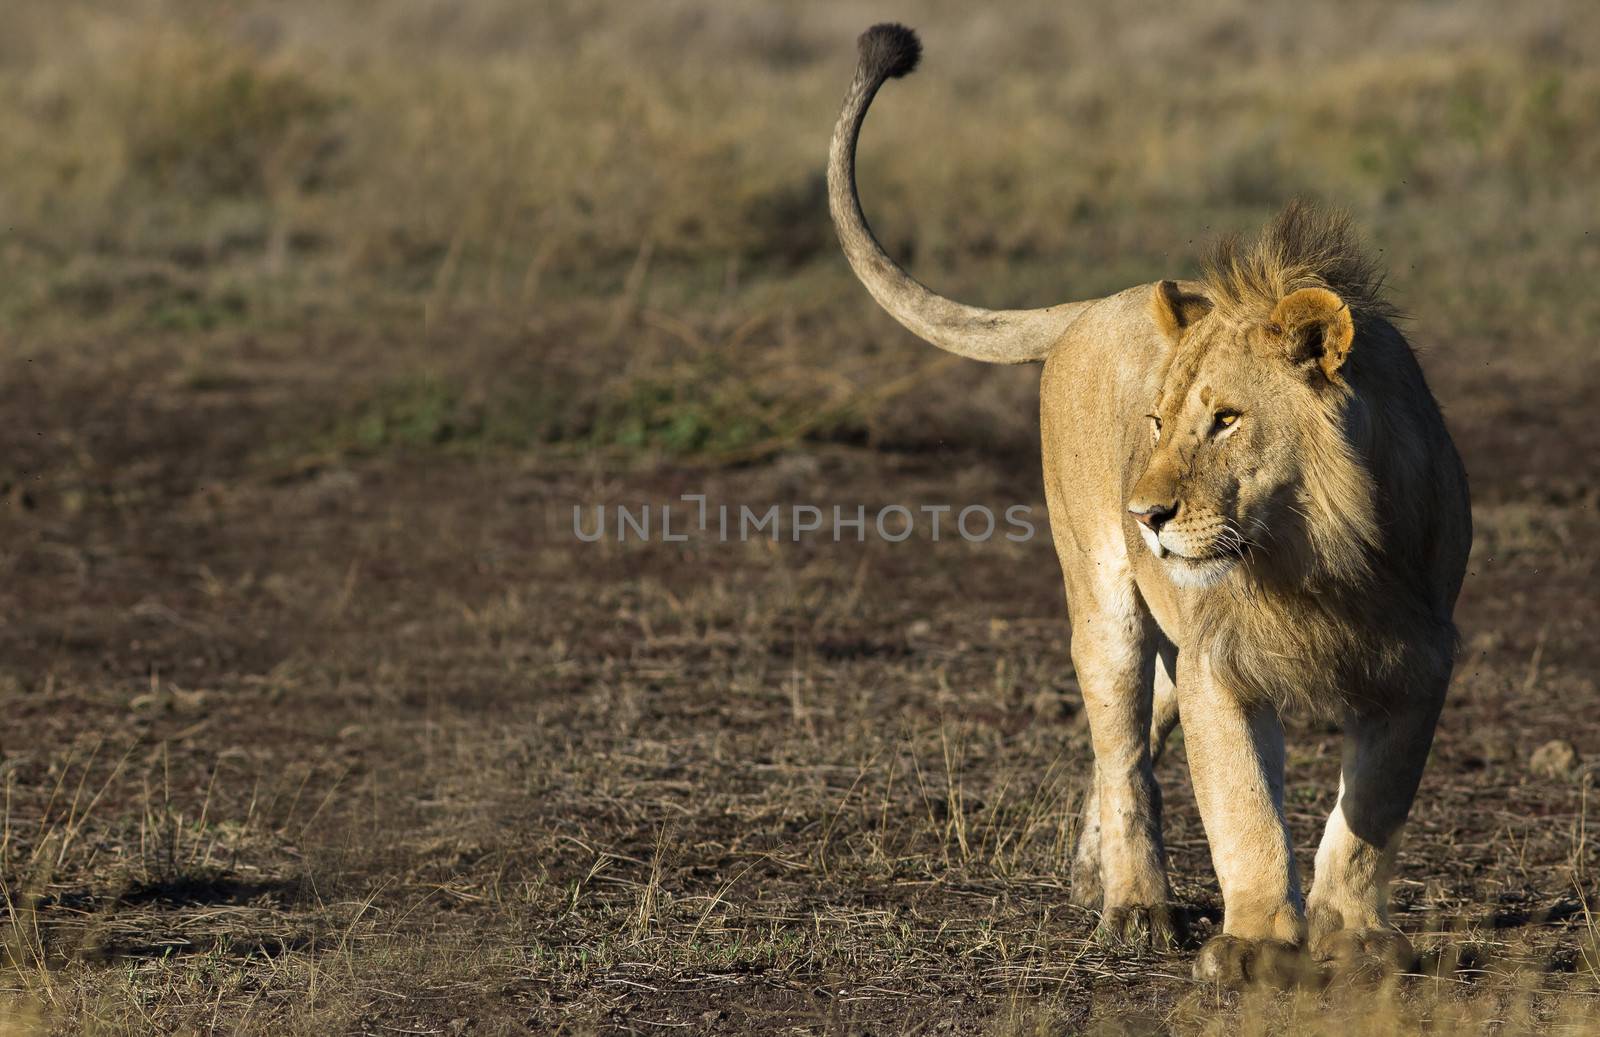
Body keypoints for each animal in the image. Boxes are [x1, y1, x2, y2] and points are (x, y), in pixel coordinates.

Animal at [832, 20, 1465, 985]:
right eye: (1158, 421)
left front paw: (1353, 938)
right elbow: (1243, 807)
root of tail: (1093, 303)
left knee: (1135, 747)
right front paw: (1256, 944)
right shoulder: (1222, 661)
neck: (1313, 553)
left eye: (1227, 420)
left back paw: (1092, 873)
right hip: (1106, 608)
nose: (1148, 517)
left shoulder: (1420, 658)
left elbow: (1368, 818)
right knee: (1123, 750)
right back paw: (1134, 904)